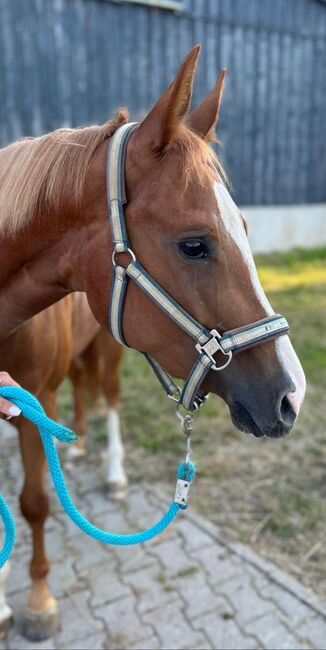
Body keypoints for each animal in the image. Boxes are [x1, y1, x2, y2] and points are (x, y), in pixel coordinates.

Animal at [0, 46, 306, 636]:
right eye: (194, 245)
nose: (292, 395)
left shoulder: (33, 400)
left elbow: (33, 502)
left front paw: (39, 603)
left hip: (108, 350)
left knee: (110, 398)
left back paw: (114, 474)